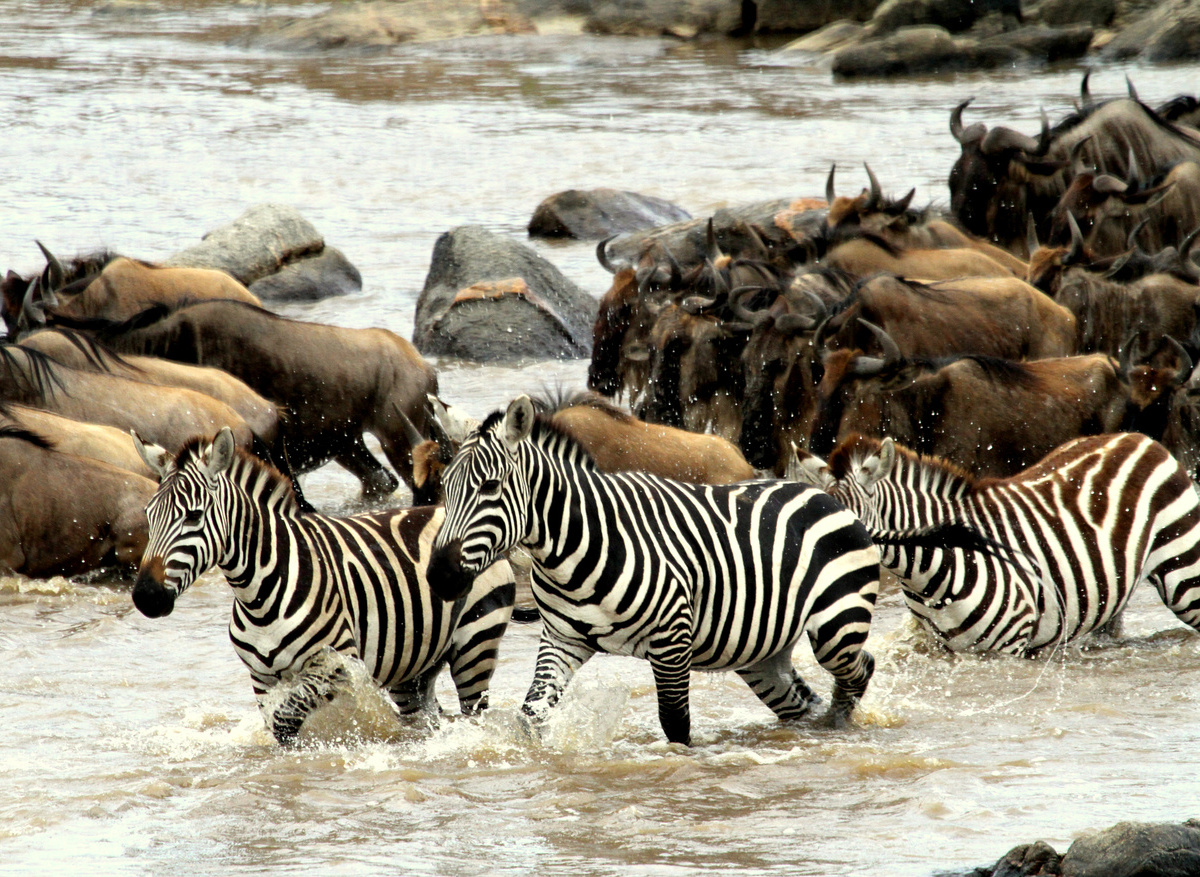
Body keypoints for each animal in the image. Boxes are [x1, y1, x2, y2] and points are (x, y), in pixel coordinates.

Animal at [131, 427, 522, 746]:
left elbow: (285, 719)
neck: (257, 594)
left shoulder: (335, 666)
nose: (145, 597)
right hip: (414, 666)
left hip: (476, 642)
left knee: (475, 712)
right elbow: (277, 725)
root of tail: (446, 510)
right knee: (425, 717)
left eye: (193, 516)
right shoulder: (262, 678)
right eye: (149, 515)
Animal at [428, 394, 880, 746]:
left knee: (860, 669)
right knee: (801, 702)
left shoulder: (672, 640)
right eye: (444, 485)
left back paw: (840, 727)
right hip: (762, 653)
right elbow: (531, 714)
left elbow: (675, 724)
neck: (574, 549)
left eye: (489, 487)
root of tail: (822, 495)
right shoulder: (561, 639)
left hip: (836, 626)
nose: (438, 576)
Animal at [791, 432, 1200, 655]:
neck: (930, 572)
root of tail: (1140, 438)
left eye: (849, 529)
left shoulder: (1008, 649)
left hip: (1185, 572)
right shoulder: (942, 649)